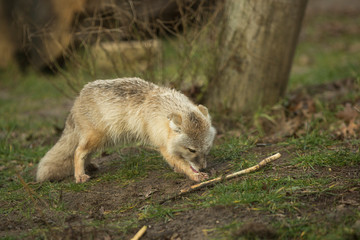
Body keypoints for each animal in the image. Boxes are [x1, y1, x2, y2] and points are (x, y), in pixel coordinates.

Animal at [35, 78, 217, 183]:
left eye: (207, 149)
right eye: (192, 150)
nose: (203, 168)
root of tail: (77, 98)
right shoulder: (164, 147)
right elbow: (182, 163)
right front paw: (194, 175)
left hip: (100, 140)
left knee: (82, 152)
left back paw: (89, 167)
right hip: (98, 138)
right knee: (78, 152)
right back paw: (79, 175)